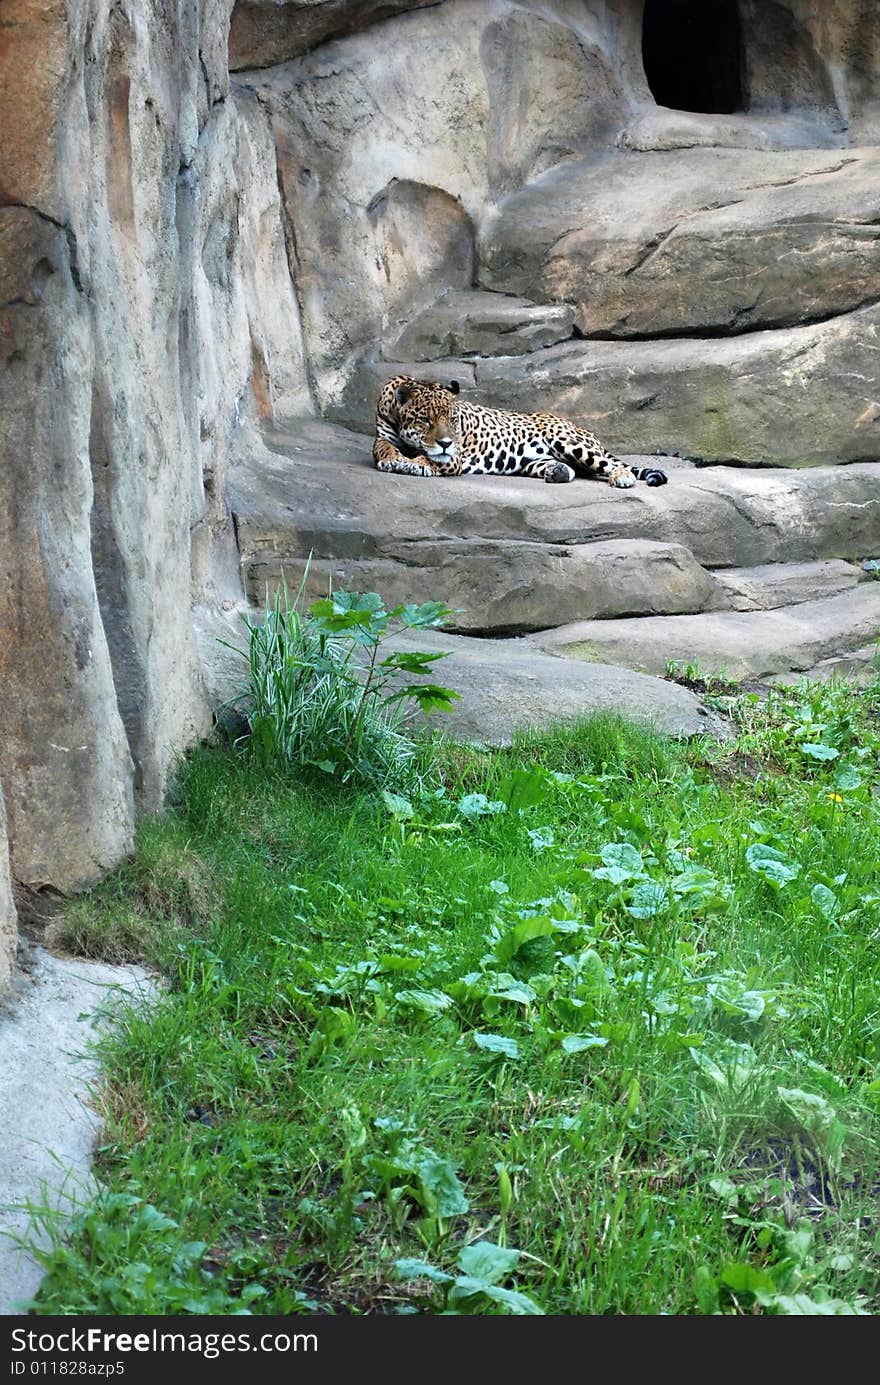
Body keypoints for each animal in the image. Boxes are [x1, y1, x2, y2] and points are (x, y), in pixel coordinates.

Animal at [371, 376, 667, 490]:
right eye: (425, 420)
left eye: (453, 420)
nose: (445, 442)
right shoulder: (383, 435)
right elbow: (382, 448)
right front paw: (393, 459)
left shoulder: (453, 457)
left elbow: (431, 458)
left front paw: (415, 464)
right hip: (534, 460)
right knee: (572, 470)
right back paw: (558, 472)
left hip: (567, 440)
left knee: (609, 464)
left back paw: (622, 477)